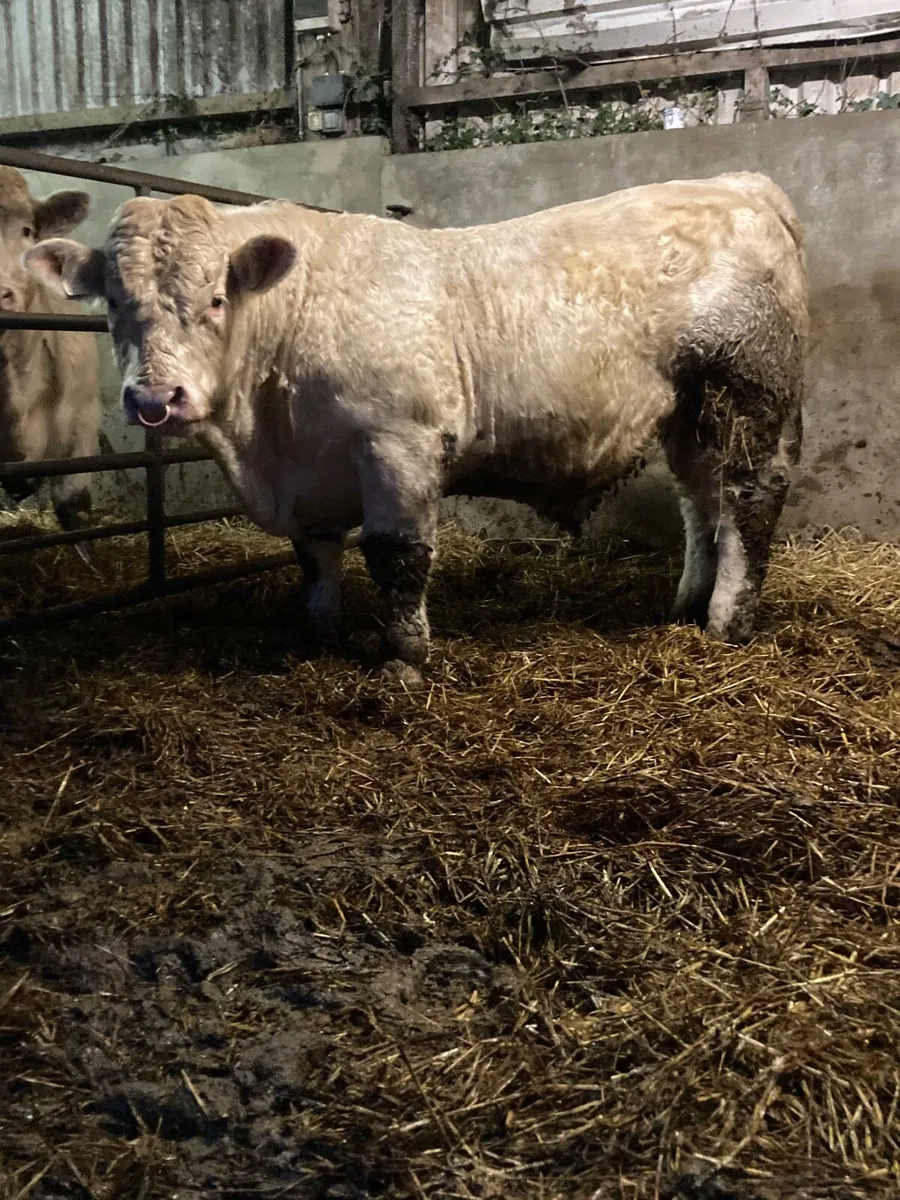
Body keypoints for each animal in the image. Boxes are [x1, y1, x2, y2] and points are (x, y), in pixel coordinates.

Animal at [25, 171, 807, 684]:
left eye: (216, 299)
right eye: (113, 303)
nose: (156, 398)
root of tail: (740, 184)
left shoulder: (397, 441)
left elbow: (397, 555)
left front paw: (402, 659)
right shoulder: (311, 469)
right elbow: (316, 554)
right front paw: (319, 630)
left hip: (749, 393)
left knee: (749, 497)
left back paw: (727, 622)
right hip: (692, 412)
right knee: (700, 500)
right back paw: (685, 607)